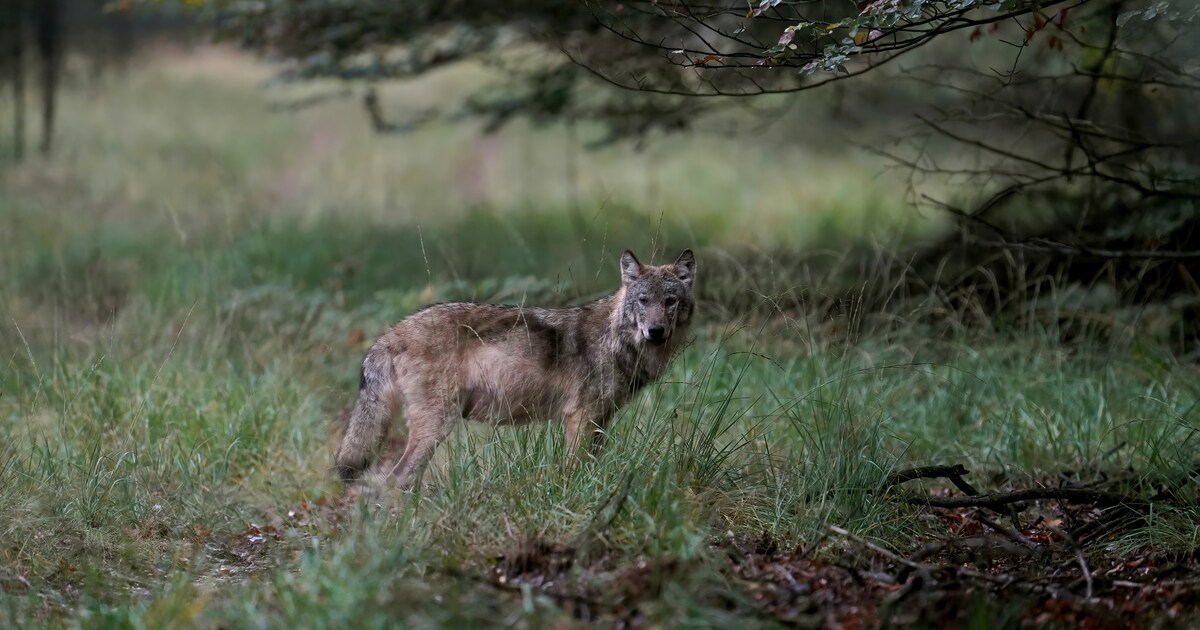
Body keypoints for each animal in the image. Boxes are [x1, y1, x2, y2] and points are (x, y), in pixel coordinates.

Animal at [334, 248, 697, 490]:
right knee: (397, 479)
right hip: (436, 426)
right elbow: (574, 470)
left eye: (670, 302)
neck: (616, 340)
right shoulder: (580, 417)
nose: (655, 332)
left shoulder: (600, 420)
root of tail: (392, 332)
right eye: (643, 300)